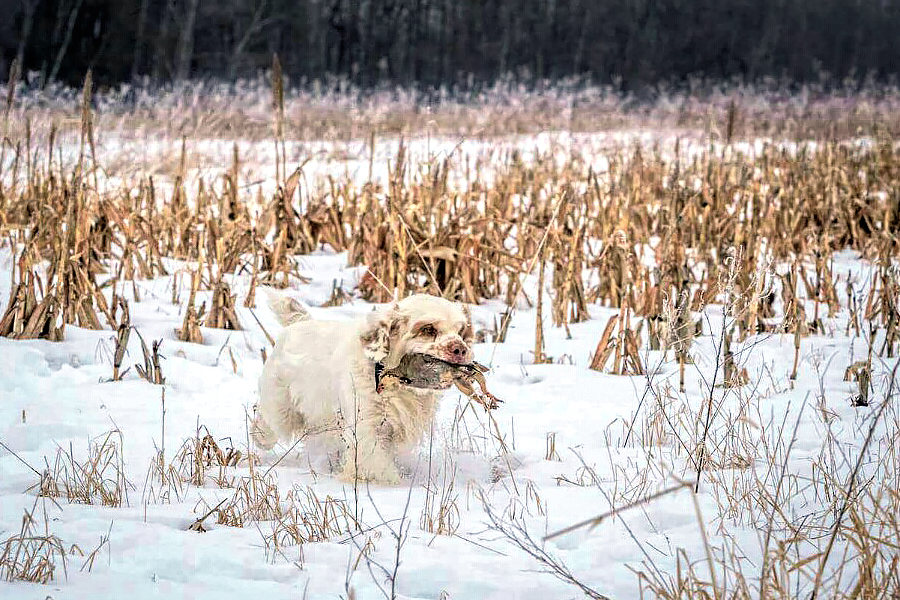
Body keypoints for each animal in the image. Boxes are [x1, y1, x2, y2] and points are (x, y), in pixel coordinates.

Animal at [250, 290, 474, 482]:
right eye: (428, 329)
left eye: (460, 331)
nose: (460, 349)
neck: (395, 384)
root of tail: (301, 323)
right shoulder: (367, 427)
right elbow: (378, 465)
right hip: (282, 408)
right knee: (267, 418)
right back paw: (261, 437)